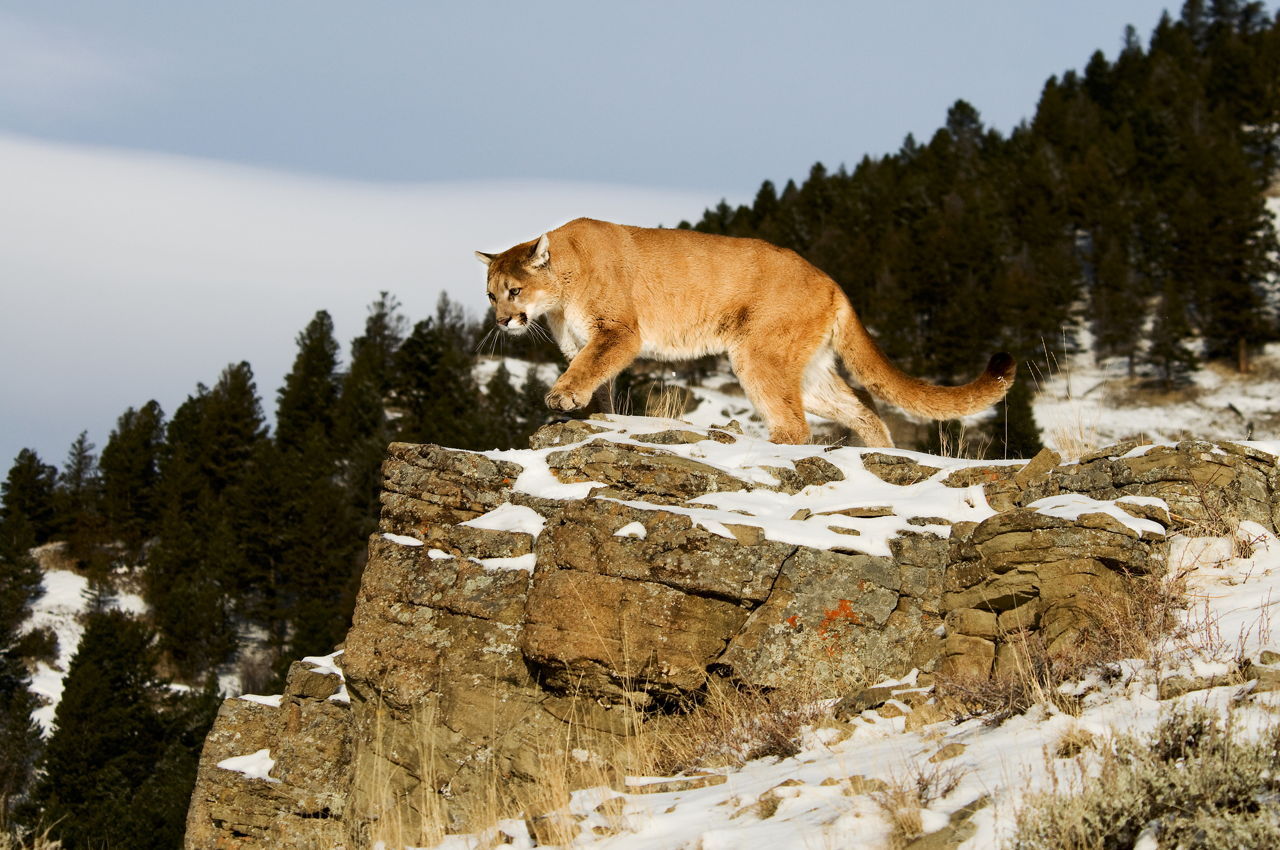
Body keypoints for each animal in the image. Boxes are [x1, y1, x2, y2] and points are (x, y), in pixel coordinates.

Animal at [476, 216, 1013, 448]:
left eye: (515, 291)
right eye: (490, 295)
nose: (502, 321)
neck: (563, 285)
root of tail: (831, 280)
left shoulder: (618, 332)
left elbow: (592, 366)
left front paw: (562, 398)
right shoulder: (584, 341)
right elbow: (598, 377)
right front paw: (593, 415)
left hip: (758, 354)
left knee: (796, 425)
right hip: (807, 370)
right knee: (860, 407)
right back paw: (879, 453)